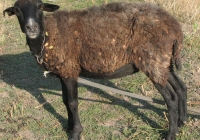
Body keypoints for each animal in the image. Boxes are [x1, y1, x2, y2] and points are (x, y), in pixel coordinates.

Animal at [3, 0, 188, 139]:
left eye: (40, 7)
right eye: (17, 11)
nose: (31, 28)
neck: (47, 35)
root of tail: (176, 29)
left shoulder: (70, 70)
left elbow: (73, 102)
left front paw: (76, 132)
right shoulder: (64, 72)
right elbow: (65, 101)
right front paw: (69, 127)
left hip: (153, 62)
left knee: (170, 97)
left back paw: (171, 134)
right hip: (164, 63)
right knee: (181, 87)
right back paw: (182, 121)